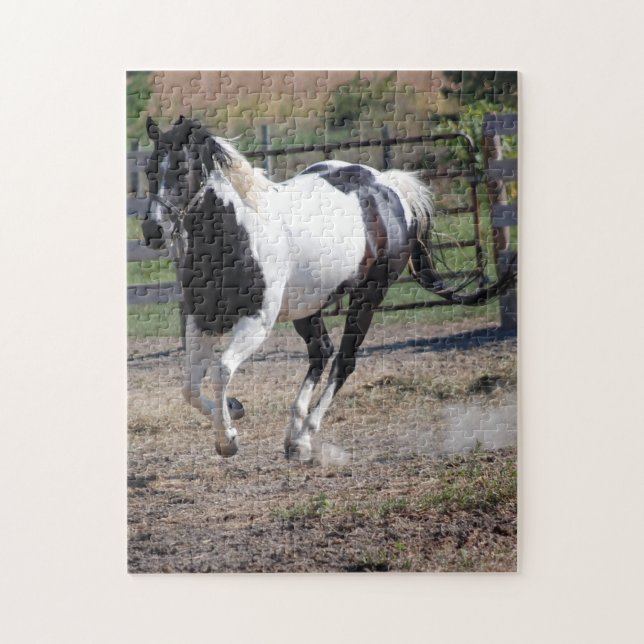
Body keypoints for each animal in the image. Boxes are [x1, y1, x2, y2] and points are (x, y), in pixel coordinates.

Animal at [141, 116, 438, 461]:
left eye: (181, 168)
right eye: (149, 168)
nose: (152, 231)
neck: (236, 237)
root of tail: (387, 186)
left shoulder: (256, 322)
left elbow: (221, 370)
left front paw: (227, 439)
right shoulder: (202, 320)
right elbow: (189, 387)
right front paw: (234, 408)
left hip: (368, 297)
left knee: (343, 361)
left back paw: (304, 437)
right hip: (308, 306)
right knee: (321, 351)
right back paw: (293, 433)